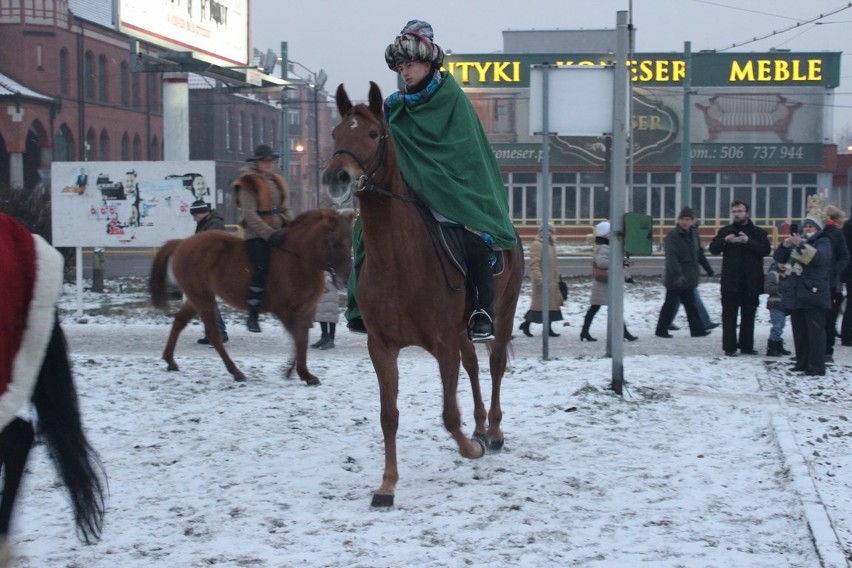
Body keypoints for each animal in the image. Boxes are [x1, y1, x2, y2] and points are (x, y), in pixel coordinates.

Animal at [150, 206, 352, 384]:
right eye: (335, 242)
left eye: (348, 242)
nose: (345, 279)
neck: (297, 259)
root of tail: (183, 243)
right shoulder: (284, 311)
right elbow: (299, 339)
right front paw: (301, 373)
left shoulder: (306, 310)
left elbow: (302, 339)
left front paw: (295, 372)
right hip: (202, 297)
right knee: (213, 333)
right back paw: (236, 372)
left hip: (196, 297)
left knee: (179, 321)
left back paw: (170, 360)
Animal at [322, 82, 524, 508]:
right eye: (335, 134)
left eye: (372, 133)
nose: (337, 178)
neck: (400, 262)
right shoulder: (382, 347)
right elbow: (389, 415)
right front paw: (387, 485)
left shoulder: (443, 344)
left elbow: (448, 414)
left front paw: (471, 448)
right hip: (464, 330)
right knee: (474, 367)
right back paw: (480, 426)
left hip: (503, 312)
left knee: (495, 363)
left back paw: (493, 433)